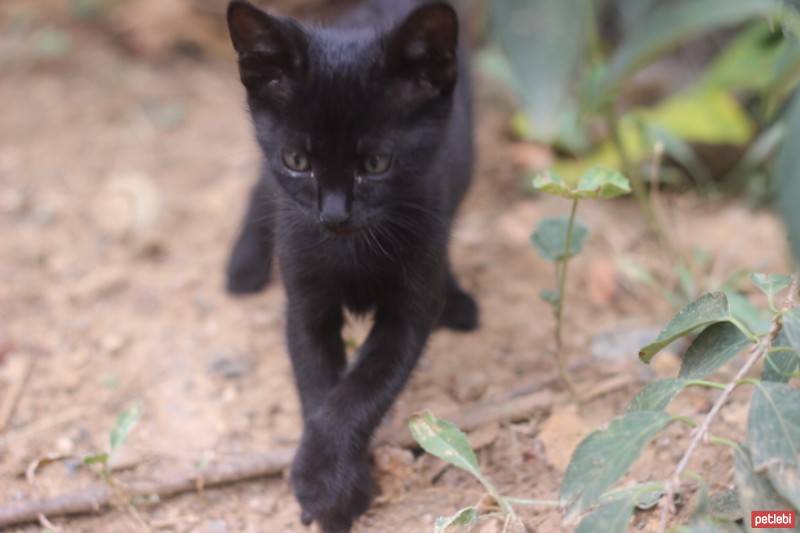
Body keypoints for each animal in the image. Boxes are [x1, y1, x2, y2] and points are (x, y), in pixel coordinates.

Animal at [223, 2, 476, 528]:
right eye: (297, 160)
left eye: (376, 164)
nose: (334, 214)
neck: (352, 251)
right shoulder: (305, 305)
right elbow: (319, 387)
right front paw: (332, 488)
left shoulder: (409, 314)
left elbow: (361, 391)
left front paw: (326, 484)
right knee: (260, 185)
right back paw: (245, 264)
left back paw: (457, 298)